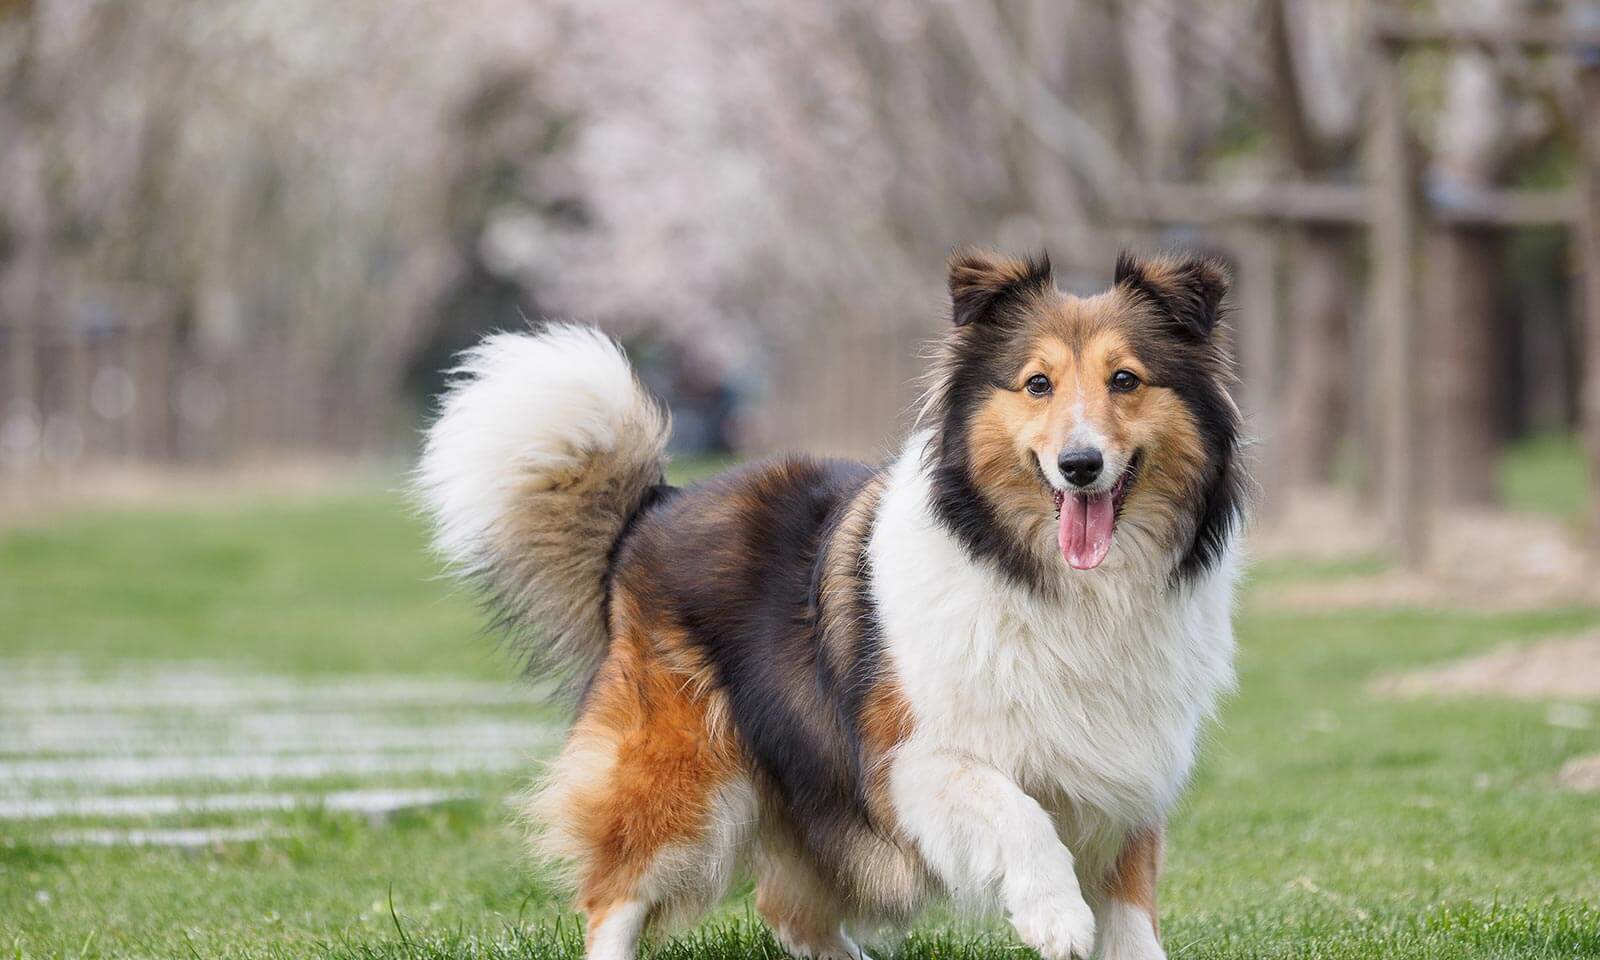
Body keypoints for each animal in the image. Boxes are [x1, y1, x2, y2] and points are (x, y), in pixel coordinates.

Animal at [416, 249, 1248, 960]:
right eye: (1037, 383)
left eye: (1126, 380)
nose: (1080, 465)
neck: (1047, 578)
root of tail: (653, 507)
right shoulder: (912, 760)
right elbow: (1018, 811)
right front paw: (1056, 914)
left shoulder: (1128, 775)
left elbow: (1130, 913)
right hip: (682, 778)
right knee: (614, 896)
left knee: (789, 909)